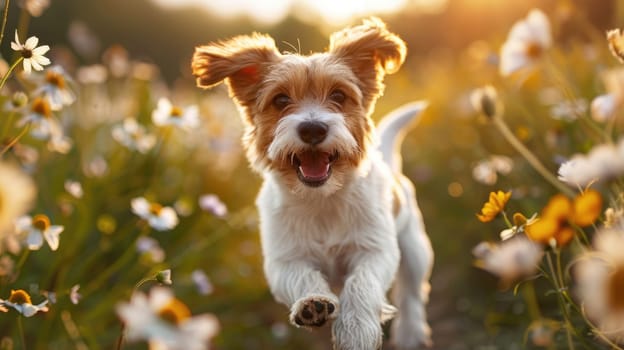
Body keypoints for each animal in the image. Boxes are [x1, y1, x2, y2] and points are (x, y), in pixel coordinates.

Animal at [193, 17, 432, 348]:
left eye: (339, 96)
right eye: (280, 99)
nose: (313, 128)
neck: (322, 199)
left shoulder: (375, 250)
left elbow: (362, 284)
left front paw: (356, 330)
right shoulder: (284, 260)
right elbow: (302, 277)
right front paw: (312, 304)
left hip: (415, 250)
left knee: (412, 295)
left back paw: (410, 333)